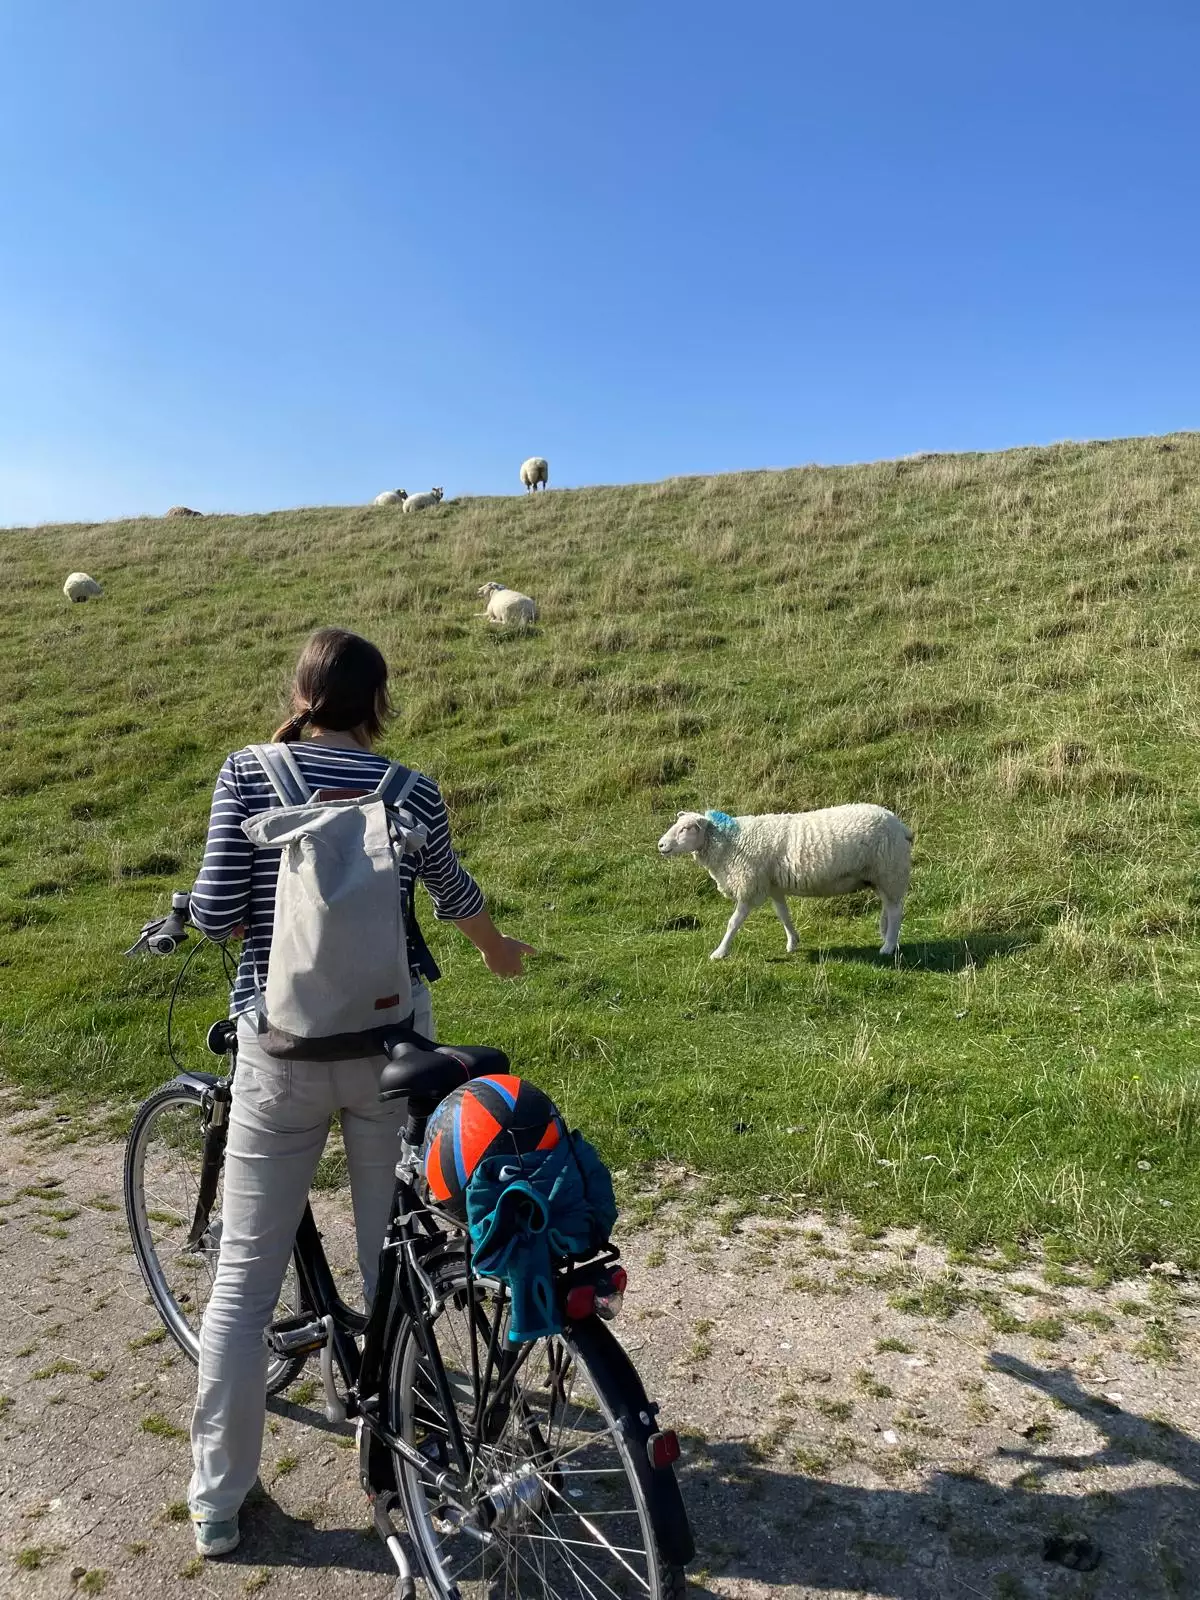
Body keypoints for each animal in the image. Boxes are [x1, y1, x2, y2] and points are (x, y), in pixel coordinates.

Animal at [657, 804, 913, 960]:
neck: (731, 841)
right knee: (889, 907)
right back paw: (885, 935)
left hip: (890, 870)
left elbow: (733, 923)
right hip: (881, 876)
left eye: (686, 828)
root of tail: (901, 826)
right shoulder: (773, 885)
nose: (661, 845)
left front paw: (719, 952)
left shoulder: (750, 885)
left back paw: (888, 946)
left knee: (895, 910)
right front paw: (792, 942)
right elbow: (783, 915)